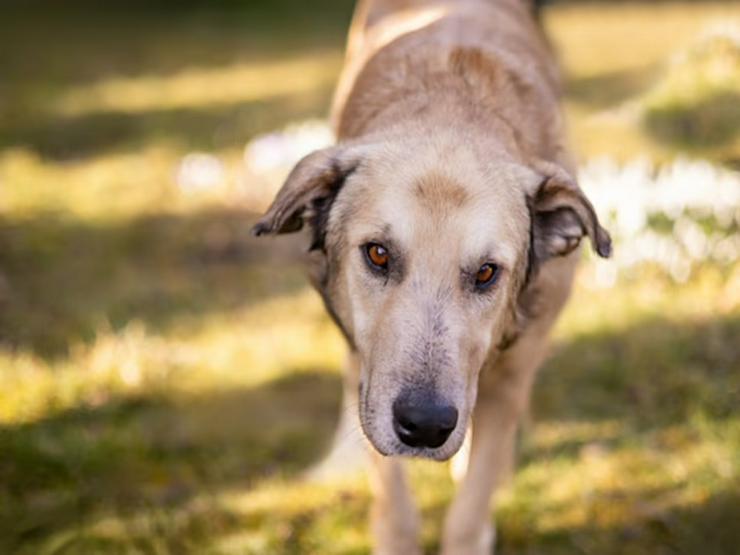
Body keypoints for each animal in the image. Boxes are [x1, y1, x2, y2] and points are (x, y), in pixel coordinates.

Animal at [251, 1, 608, 552]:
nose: (425, 426)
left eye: (487, 272)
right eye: (378, 254)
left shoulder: (512, 372)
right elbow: (393, 500)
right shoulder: (369, 368)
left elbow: (470, 504)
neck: (451, 110)